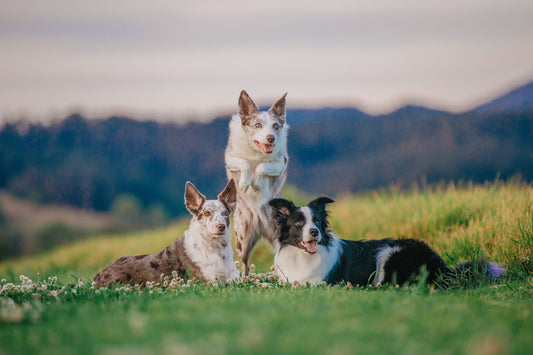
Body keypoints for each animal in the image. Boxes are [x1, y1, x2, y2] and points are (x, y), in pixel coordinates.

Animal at [93, 181, 239, 286]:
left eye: (225, 213)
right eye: (207, 213)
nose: (221, 227)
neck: (217, 249)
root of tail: (98, 276)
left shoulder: (236, 279)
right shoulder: (210, 282)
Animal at [225, 90, 290, 276]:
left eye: (276, 126)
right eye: (258, 125)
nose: (271, 138)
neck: (257, 152)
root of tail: (261, 225)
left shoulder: (281, 163)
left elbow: (263, 167)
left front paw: (255, 183)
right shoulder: (231, 159)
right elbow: (244, 163)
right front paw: (245, 183)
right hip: (243, 240)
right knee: (245, 264)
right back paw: (244, 279)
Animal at [268, 197, 504, 286]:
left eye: (317, 221)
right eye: (299, 222)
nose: (315, 232)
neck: (301, 256)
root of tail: (441, 266)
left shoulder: (319, 282)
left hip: (390, 252)